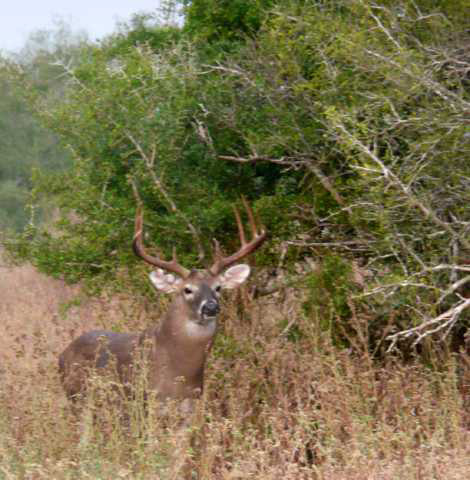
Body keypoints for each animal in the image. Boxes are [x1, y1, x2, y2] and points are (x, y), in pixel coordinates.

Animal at [57, 199, 266, 408]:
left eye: (218, 288)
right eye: (187, 289)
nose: (211, 307)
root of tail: (62, 354)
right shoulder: (147, 400)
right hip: (76, 396)